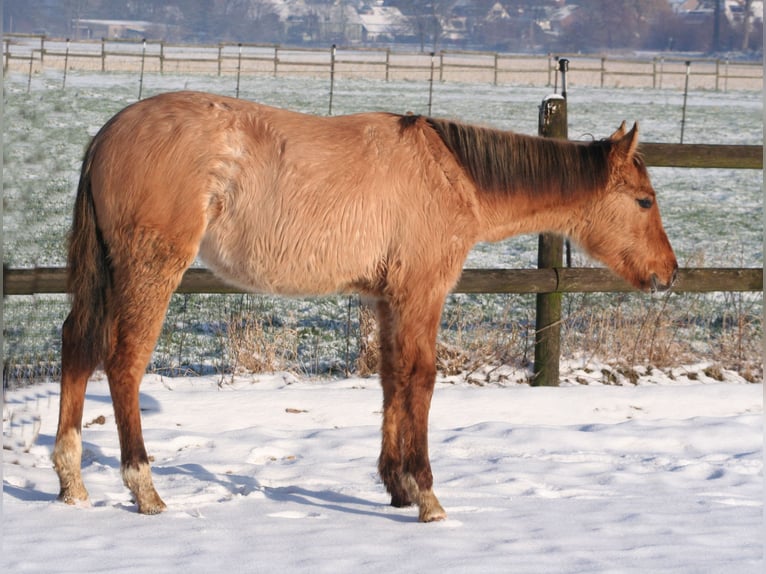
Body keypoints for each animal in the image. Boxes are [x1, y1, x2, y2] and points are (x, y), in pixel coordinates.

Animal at [52, 91, 680, 528]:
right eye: (643, 201)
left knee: (77, 348)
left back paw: (71, 483)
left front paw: (396, 487)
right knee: (124, 363)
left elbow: (391, 378)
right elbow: (420, 380)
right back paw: (145, 490)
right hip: (149, 272)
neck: (450, 173)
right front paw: (427, 495)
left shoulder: (386, 298)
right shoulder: (422, 293)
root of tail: (108, 135)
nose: (670, 273)